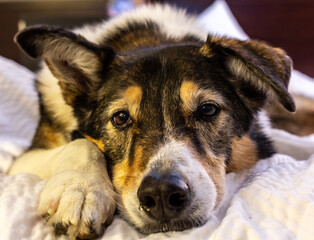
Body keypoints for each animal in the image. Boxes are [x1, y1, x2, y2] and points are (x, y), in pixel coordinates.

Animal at [8, 4, 296, 240]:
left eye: (207, 110)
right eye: (121, 118)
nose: (161, 194)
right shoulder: (23, 159)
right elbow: (81, 144)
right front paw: (81, 191)